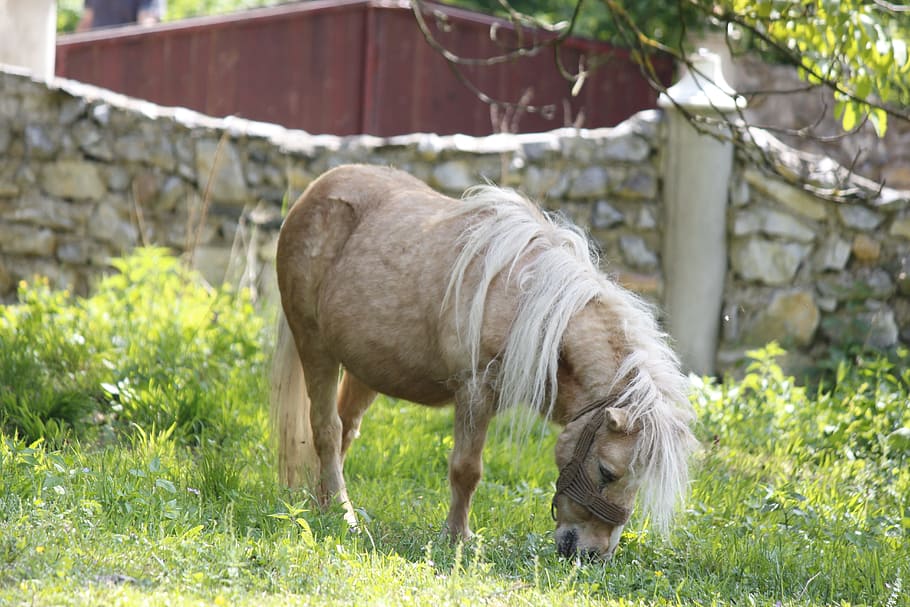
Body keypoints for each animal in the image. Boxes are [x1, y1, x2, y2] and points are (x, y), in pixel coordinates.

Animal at [271, 164, 697, 559]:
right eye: (607, 472)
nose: (593, 555)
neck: (527, 303)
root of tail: (315, 191)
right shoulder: (475, 391)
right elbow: (466, 470)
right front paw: (458, 537)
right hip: (314, 346)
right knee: (327, 429)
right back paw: (344, 515)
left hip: (366, 368)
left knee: (345, 429)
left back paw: (326, 506)